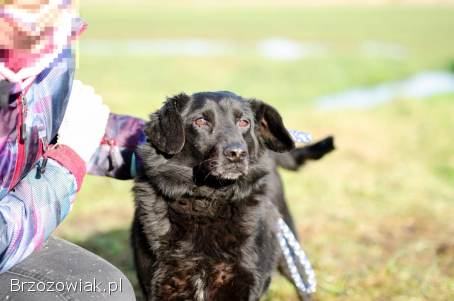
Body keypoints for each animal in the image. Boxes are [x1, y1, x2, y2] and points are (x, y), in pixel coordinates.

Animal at [131, 91, 334, 300]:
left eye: (244, 122)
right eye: (200, 121)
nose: (237, 153)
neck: (207, 201)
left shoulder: (244, 282)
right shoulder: (161, 286)